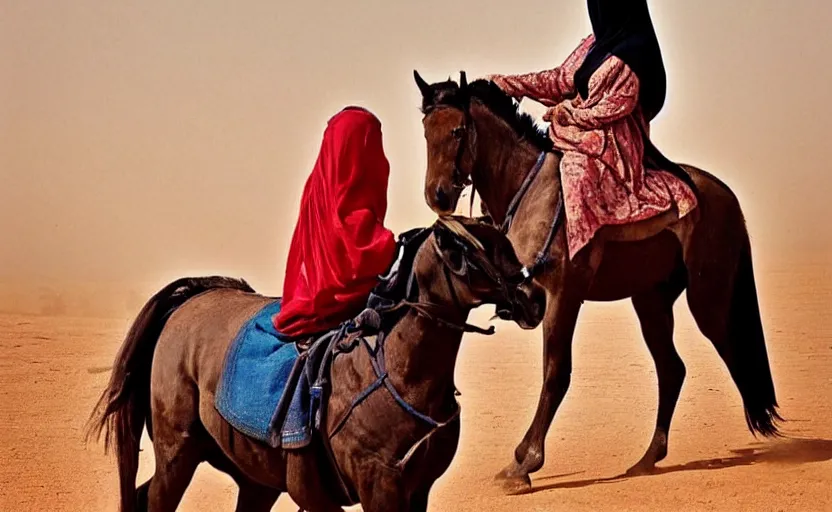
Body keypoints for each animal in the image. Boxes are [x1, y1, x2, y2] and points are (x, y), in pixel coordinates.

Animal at [88, 217, 548, 512]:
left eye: (504, 243)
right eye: (472, 250)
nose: (536, 298)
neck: (398, 376)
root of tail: (195, 295)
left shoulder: (417, 490)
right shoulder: (373, 490)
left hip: (252, 476)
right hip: (177, 453)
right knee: (153, 498)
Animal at [412, 70, 784, 494]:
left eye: (457, 131)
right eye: (426, 130)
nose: (437, 194)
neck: (531, 193)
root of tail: (726, 197)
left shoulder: (564, 295)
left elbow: (555, 373)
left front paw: (523, 463)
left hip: (708, 298)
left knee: (733, 349)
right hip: (651, 300)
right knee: (672, 368)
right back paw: (646, 459)